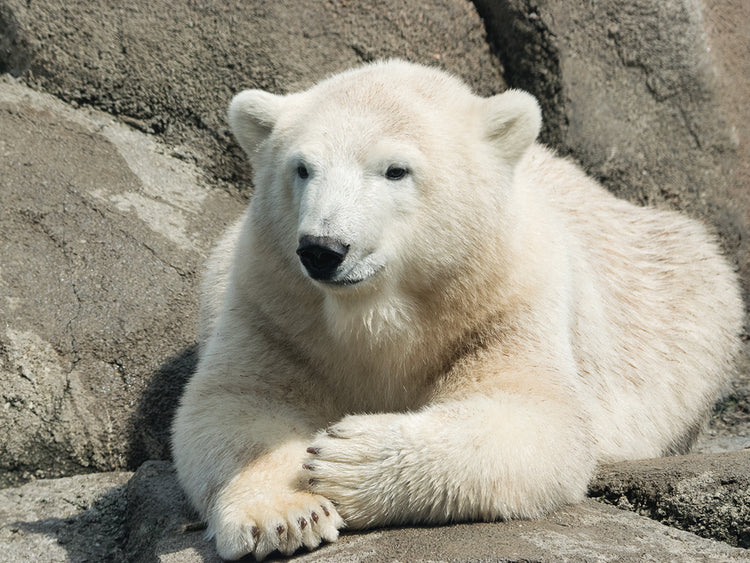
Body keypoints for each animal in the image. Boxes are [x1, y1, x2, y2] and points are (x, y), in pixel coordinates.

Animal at [172, 60, 743, 561]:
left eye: (395, 170)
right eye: (302, 168)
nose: (323, 248)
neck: (372, 311)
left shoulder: (506, 300)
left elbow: (536, 415)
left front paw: (346, 457)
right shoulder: (272, 304)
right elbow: (236, 404)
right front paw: (287, 516)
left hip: (682, 301)